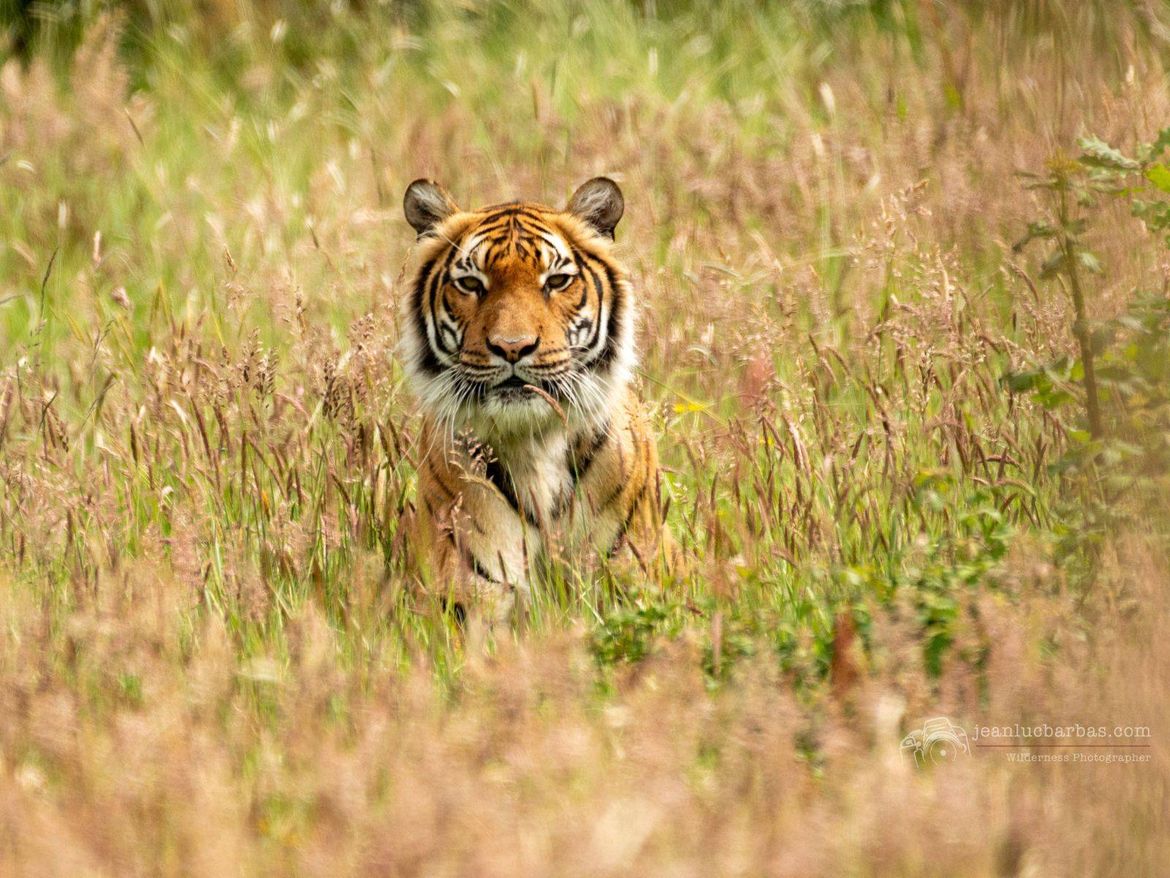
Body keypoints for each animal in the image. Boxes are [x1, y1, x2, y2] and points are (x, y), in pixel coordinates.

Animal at [400, 175, 678, 622]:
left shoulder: (633, 573)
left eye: (557, 281)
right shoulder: (470, 593)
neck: (535, 444)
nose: (512, 347)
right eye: (471, 284)